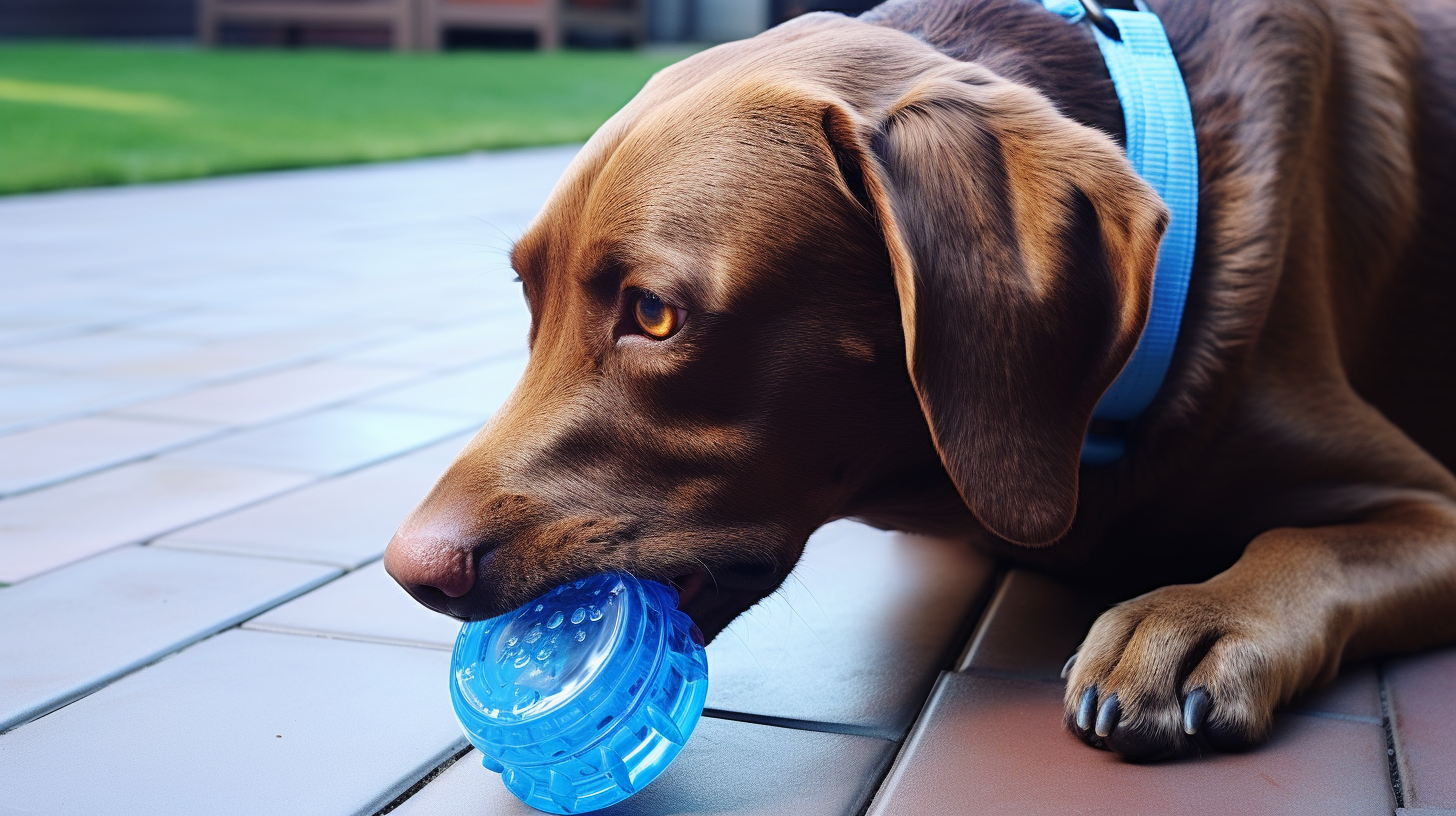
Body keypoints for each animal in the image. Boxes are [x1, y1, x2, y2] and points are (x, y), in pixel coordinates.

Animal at [381, 0, 1456, 763]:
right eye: (528, 295)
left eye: (652, 315)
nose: (409, 571)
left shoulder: (1433, 506)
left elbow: (1307, 543)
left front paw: (1195, 616)